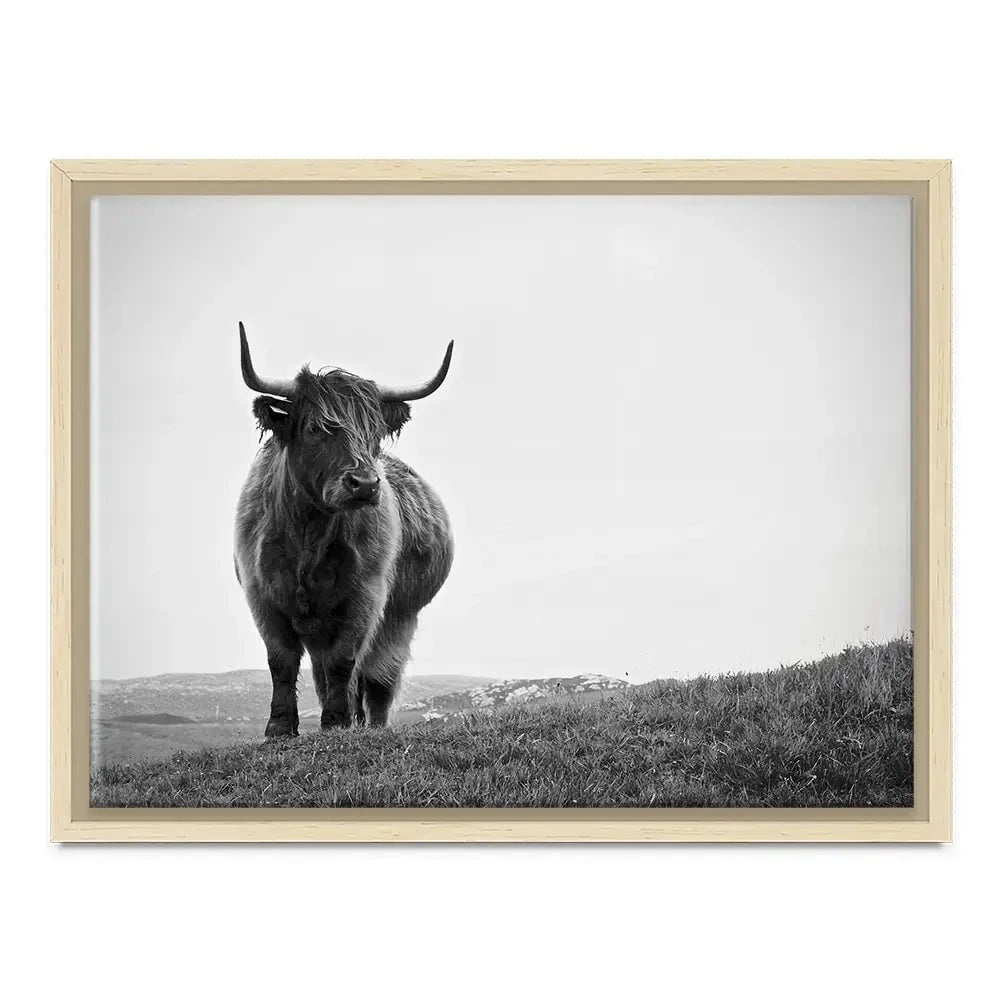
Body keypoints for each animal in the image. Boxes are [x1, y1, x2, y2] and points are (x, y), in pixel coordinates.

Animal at [233, 322, 455, 735]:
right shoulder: (262, 596)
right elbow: (281, 661)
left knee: (378, 679)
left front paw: (336, 723)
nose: (365, 484)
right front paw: (279, 727)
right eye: (315, 428)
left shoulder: (364, 598)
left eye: (374, 433)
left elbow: (344, 662)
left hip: (399, 618)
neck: (309, 532)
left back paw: (370, 725)